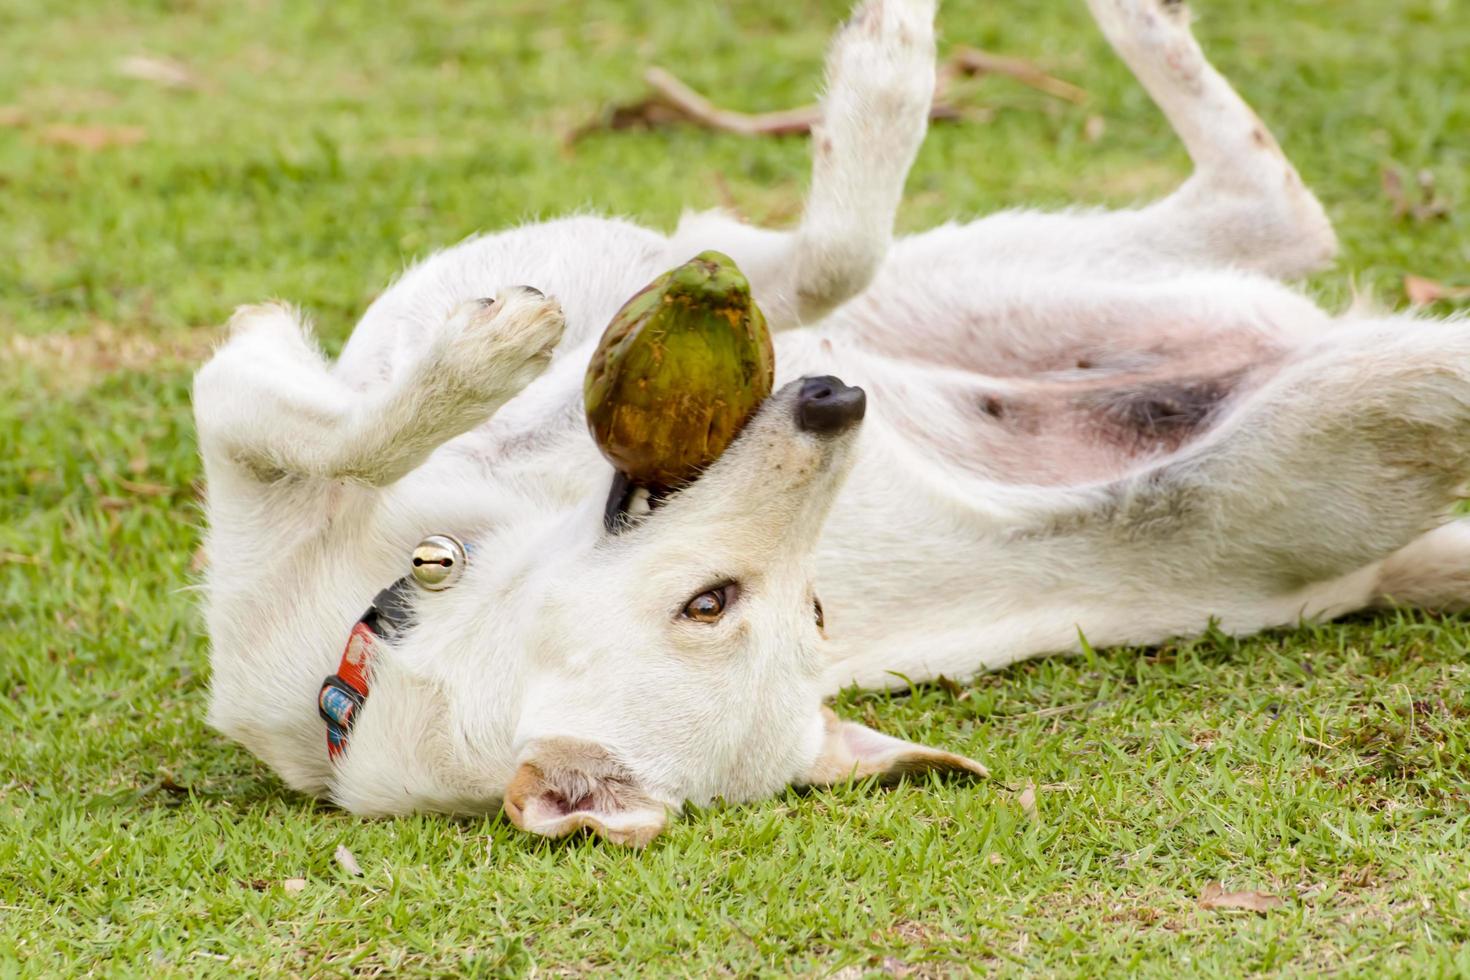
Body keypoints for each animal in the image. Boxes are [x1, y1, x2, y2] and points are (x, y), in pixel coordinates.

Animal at [195, 0, 1470, 846]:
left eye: (810, 607)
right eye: (713, 603)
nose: (832, 400)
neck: (387, 621)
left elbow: (801, 261)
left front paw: (495, 351)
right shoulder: (255, 416)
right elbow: (336, 413)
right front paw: (479, 355)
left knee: (1274, 212)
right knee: (1278, 212)